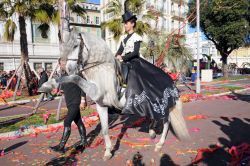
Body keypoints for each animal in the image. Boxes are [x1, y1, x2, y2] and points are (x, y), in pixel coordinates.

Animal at [39, 29, 189, 161]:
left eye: (75, 45)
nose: (65, 67)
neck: (100, 68)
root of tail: (169, 78)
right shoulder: (101, 105)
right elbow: (105, 129)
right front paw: (108, 152)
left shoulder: (96, 91)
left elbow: (75, 78)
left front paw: (48, 85)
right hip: (152, 103)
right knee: (155, 116)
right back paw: (152, 132)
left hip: (164, 103)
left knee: (166, 121)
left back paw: (159, 144)